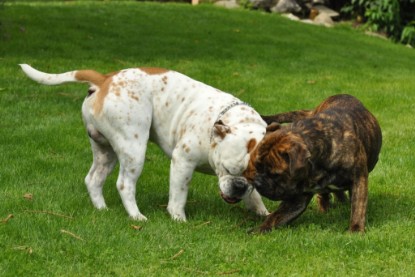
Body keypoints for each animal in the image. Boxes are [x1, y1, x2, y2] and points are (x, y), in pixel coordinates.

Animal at [20, 64, 270, 220]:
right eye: (227, 169)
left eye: (254, 178)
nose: (239, 186)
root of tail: (105, 79)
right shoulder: (183, 161)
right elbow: (179, 194)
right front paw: (178, 218)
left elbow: (255, 197)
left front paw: (263, 212)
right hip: (134, 149)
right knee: (124, 184)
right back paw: (136, 216)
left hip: (106, 151)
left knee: (93, 179)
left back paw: (102, 209)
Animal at [247, 94, 384, 232]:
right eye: (257, 166)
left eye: (275, 174)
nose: (258, 182)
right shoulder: (297, 197)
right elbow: (277, 216)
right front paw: (258, 230)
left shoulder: (358, 179)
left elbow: (358, 206)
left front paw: (356, 229)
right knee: (325, 194)